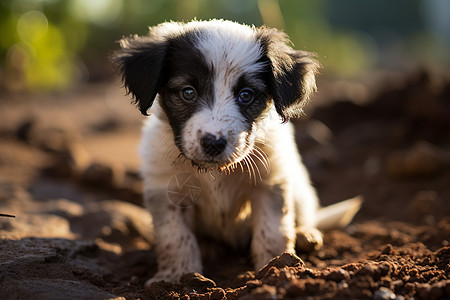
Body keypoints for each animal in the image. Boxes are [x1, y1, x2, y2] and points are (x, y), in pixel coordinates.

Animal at [114, 19, 360, 284]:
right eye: (188, 92)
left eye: (246, 95)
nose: (213, 143)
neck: (216, 174)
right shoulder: (165, 189)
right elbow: (175, 237)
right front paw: (176, 276)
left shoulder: (271, 182)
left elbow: (273, 231)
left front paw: (275, 267)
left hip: (301, 190)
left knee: (305, 216)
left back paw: (306, 235)